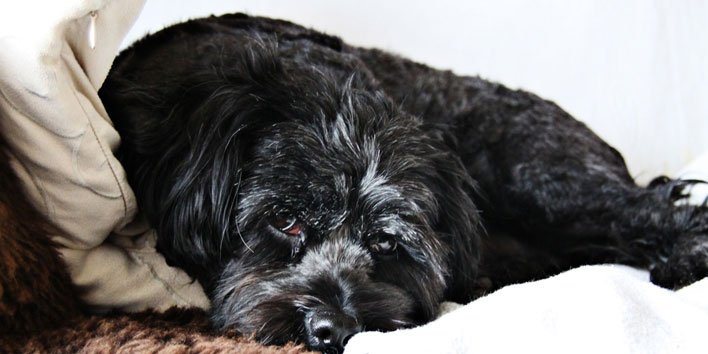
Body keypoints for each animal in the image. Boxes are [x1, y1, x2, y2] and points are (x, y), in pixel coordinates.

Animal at [99, 13, 708, 352]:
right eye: (284, 220)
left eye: (385, 241)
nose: (333, 328)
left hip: (541, 178)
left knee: (656, 210)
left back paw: (684, 257)